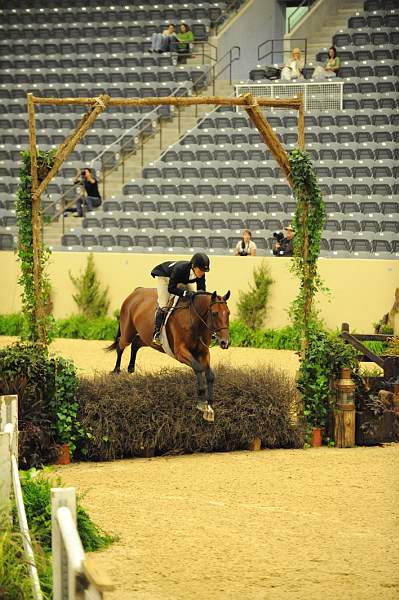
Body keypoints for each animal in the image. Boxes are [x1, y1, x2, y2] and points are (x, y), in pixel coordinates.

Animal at [106, 288, 231, 420]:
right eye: (215, 313)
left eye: (228, 313)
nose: (225, 342)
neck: (194, 320)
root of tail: (136, 291)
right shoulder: (180, 352)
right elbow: (198, 368)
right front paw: (202, 403)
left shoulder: (203, 352)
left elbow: (210, 375)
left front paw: (209, 408)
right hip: (128, 332)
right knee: (120, 345)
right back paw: (116, 371)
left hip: (147, 338)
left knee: (135, 344)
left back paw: (130, 369)